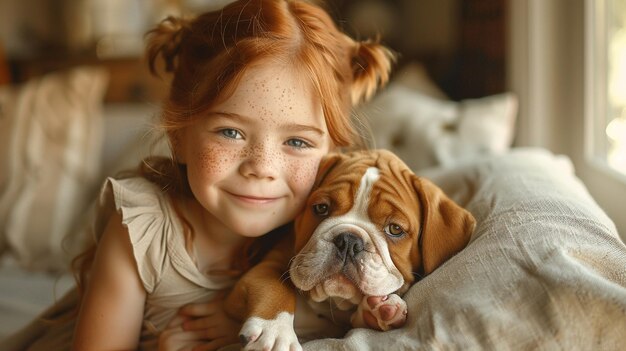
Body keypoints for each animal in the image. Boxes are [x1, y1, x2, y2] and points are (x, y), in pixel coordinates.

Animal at [227, 150, 476, 350]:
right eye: (321, 208)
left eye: (395, 229)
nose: (349, 240)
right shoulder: (263, 270)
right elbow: (275, 288)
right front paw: (274, 333)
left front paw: (378, 311)